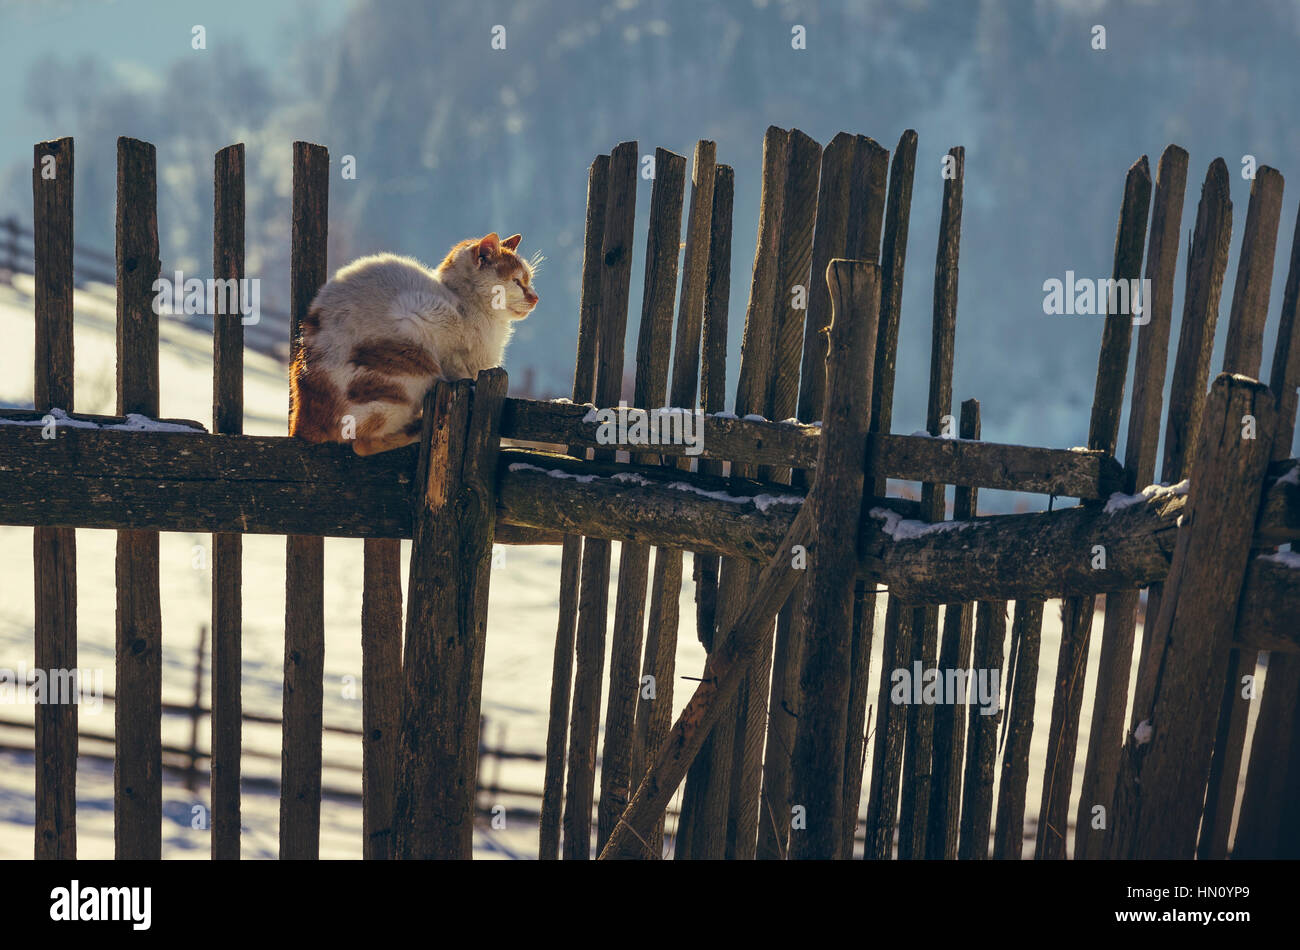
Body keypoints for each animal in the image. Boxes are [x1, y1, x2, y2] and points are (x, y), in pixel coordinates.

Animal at [289, 230, 538, 452]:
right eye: (517, 281)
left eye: (529, 280)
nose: (535, 297)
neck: (466, 303)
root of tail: (302, 422)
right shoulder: (426, 320)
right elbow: (461, 371)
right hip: (408, 377)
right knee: (362, 445)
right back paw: (415, 430)